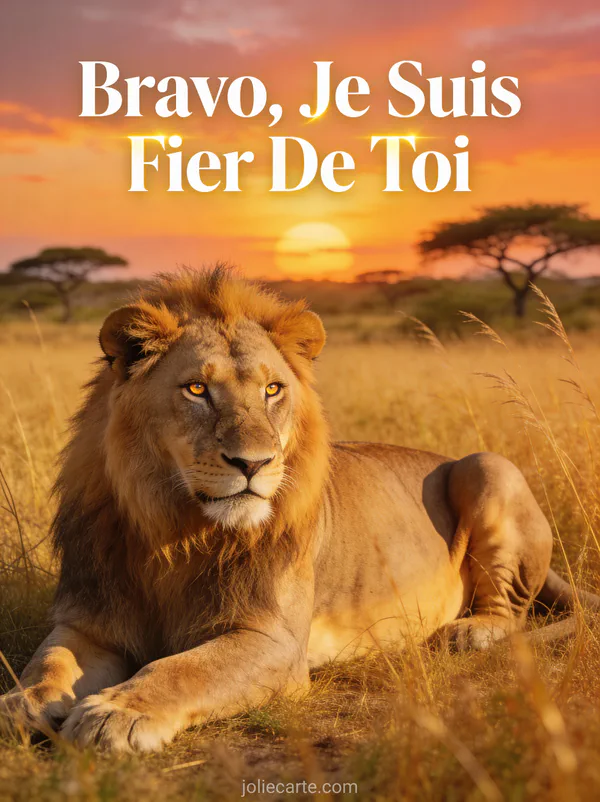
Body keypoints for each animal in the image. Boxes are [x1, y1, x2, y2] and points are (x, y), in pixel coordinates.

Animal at [1, 266, 598, 753]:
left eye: (272, 389)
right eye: (196, 389)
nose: (254, 463)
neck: (176, 530)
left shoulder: (276, 643)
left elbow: (182, 669)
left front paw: (116, 712)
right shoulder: (88, 623)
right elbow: (47, 662)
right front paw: (22, 703)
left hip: (486, 466)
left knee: (512, 609)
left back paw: (468, 632)